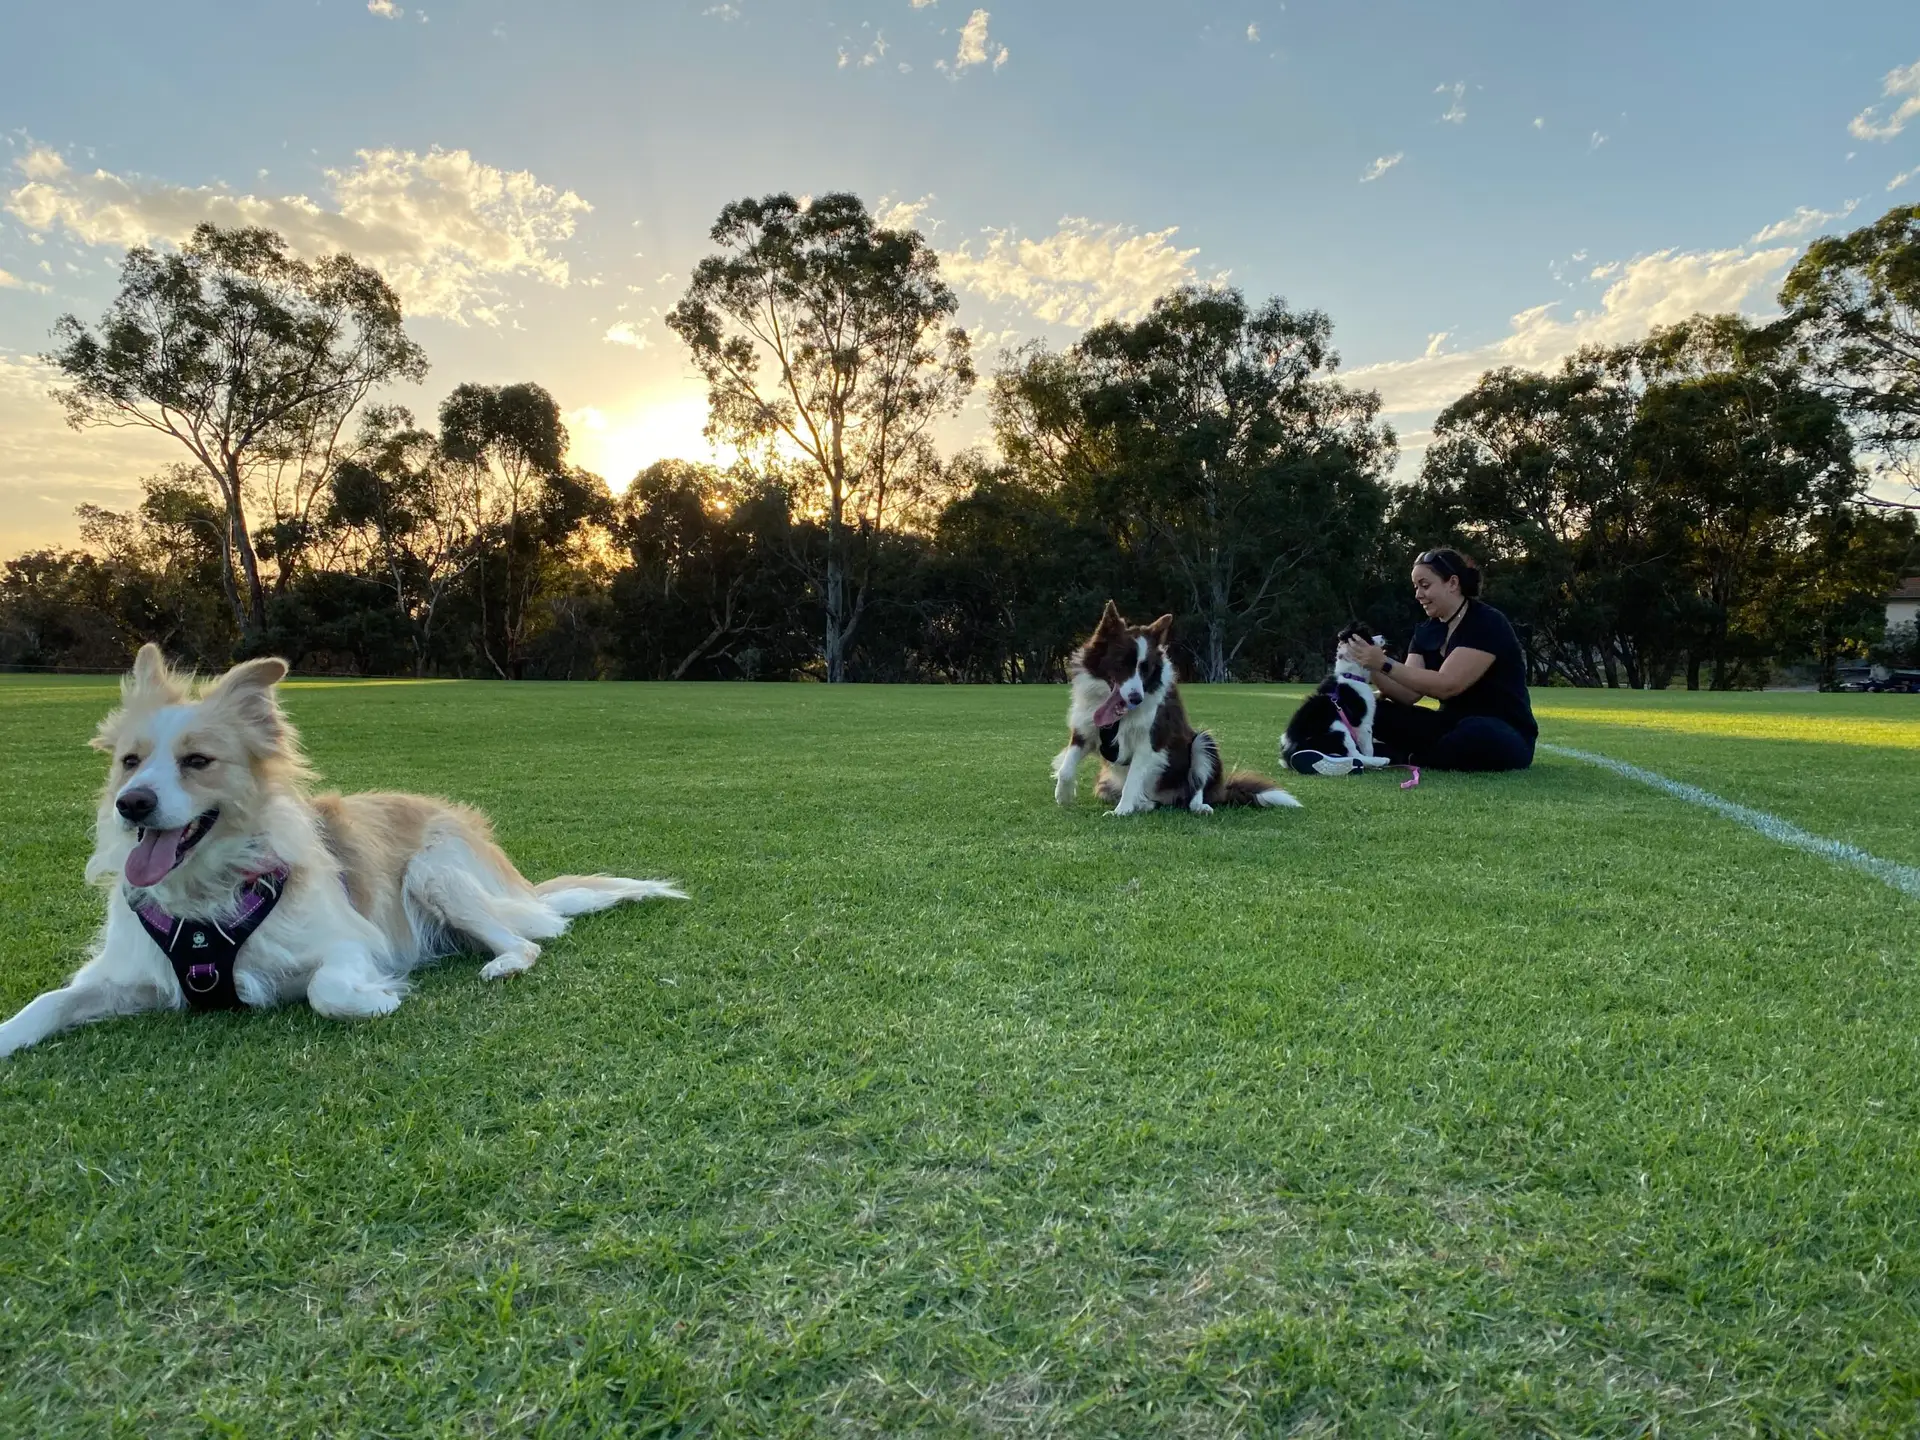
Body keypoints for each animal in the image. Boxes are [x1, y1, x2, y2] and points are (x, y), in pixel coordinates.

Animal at [0, 645, 687, 1059]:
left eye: (197, 761)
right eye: (129, 762)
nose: (132, 804)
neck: (205, 896)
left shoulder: (352, 942)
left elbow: (326, 990)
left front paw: (380, 998)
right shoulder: (126, 973)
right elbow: (48, 1001)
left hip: (436, 873)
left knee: (530, 942)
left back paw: (500, 964)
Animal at [1282, 622, 1390, 779]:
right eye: (1369, 636)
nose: (1383, 635)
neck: (1350, 675)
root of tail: (1292, 751)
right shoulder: (1363, 724)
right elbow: (1368, 748)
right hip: (1339, 729)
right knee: (1355, 754)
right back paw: (1379, 761)